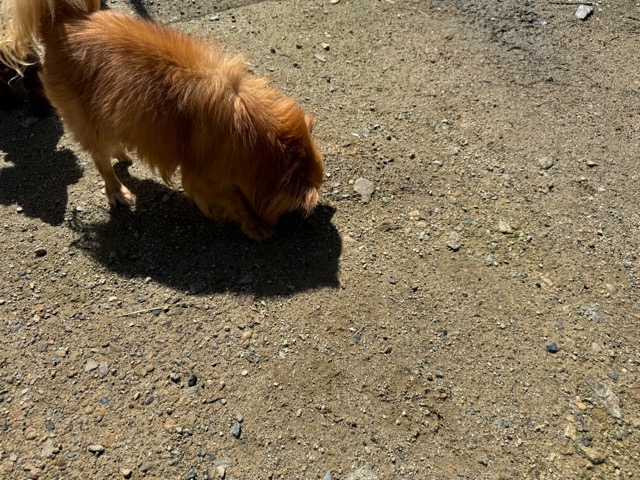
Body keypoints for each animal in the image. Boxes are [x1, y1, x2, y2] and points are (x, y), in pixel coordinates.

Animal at [0, 0, 323, 240]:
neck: (256, 132)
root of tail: (66, 21)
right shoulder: (204, 178)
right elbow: (236, 201)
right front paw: (254, 225)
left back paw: (121, 152)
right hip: (85, 120)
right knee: (100, 161)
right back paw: (117, 191)